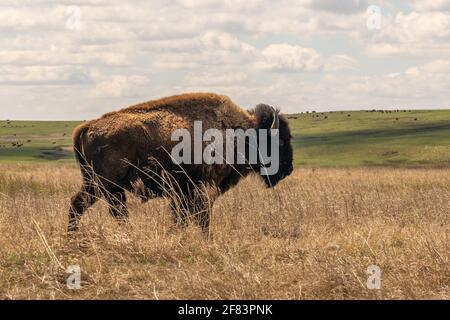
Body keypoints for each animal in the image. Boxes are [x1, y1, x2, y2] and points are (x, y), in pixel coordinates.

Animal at [68, 91, 294, 236]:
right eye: (280, 141)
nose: (289, 168)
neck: (240, 133)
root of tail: (89, 126)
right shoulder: (203, 189)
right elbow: (201, 218)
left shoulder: (184, 193)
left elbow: (183, 217)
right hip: (102, 184)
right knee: (81, 204)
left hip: (107, 187)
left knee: (111, 211)